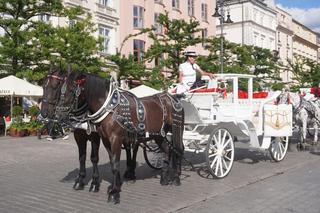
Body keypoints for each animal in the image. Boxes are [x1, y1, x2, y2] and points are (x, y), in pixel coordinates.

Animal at [53, 70, 184, 204]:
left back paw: (176, 178)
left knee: (179, 150)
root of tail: (171, 97)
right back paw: (164, 178)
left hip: (177, 129)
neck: (109, 108)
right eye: (60, 90)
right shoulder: (105, 140)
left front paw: (114, 193)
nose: (57, 115)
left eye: (71, 90)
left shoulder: (115, 139)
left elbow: (115, 165)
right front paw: (113, 186)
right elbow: (112, 163)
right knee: (167, 150)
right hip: (158, 135)